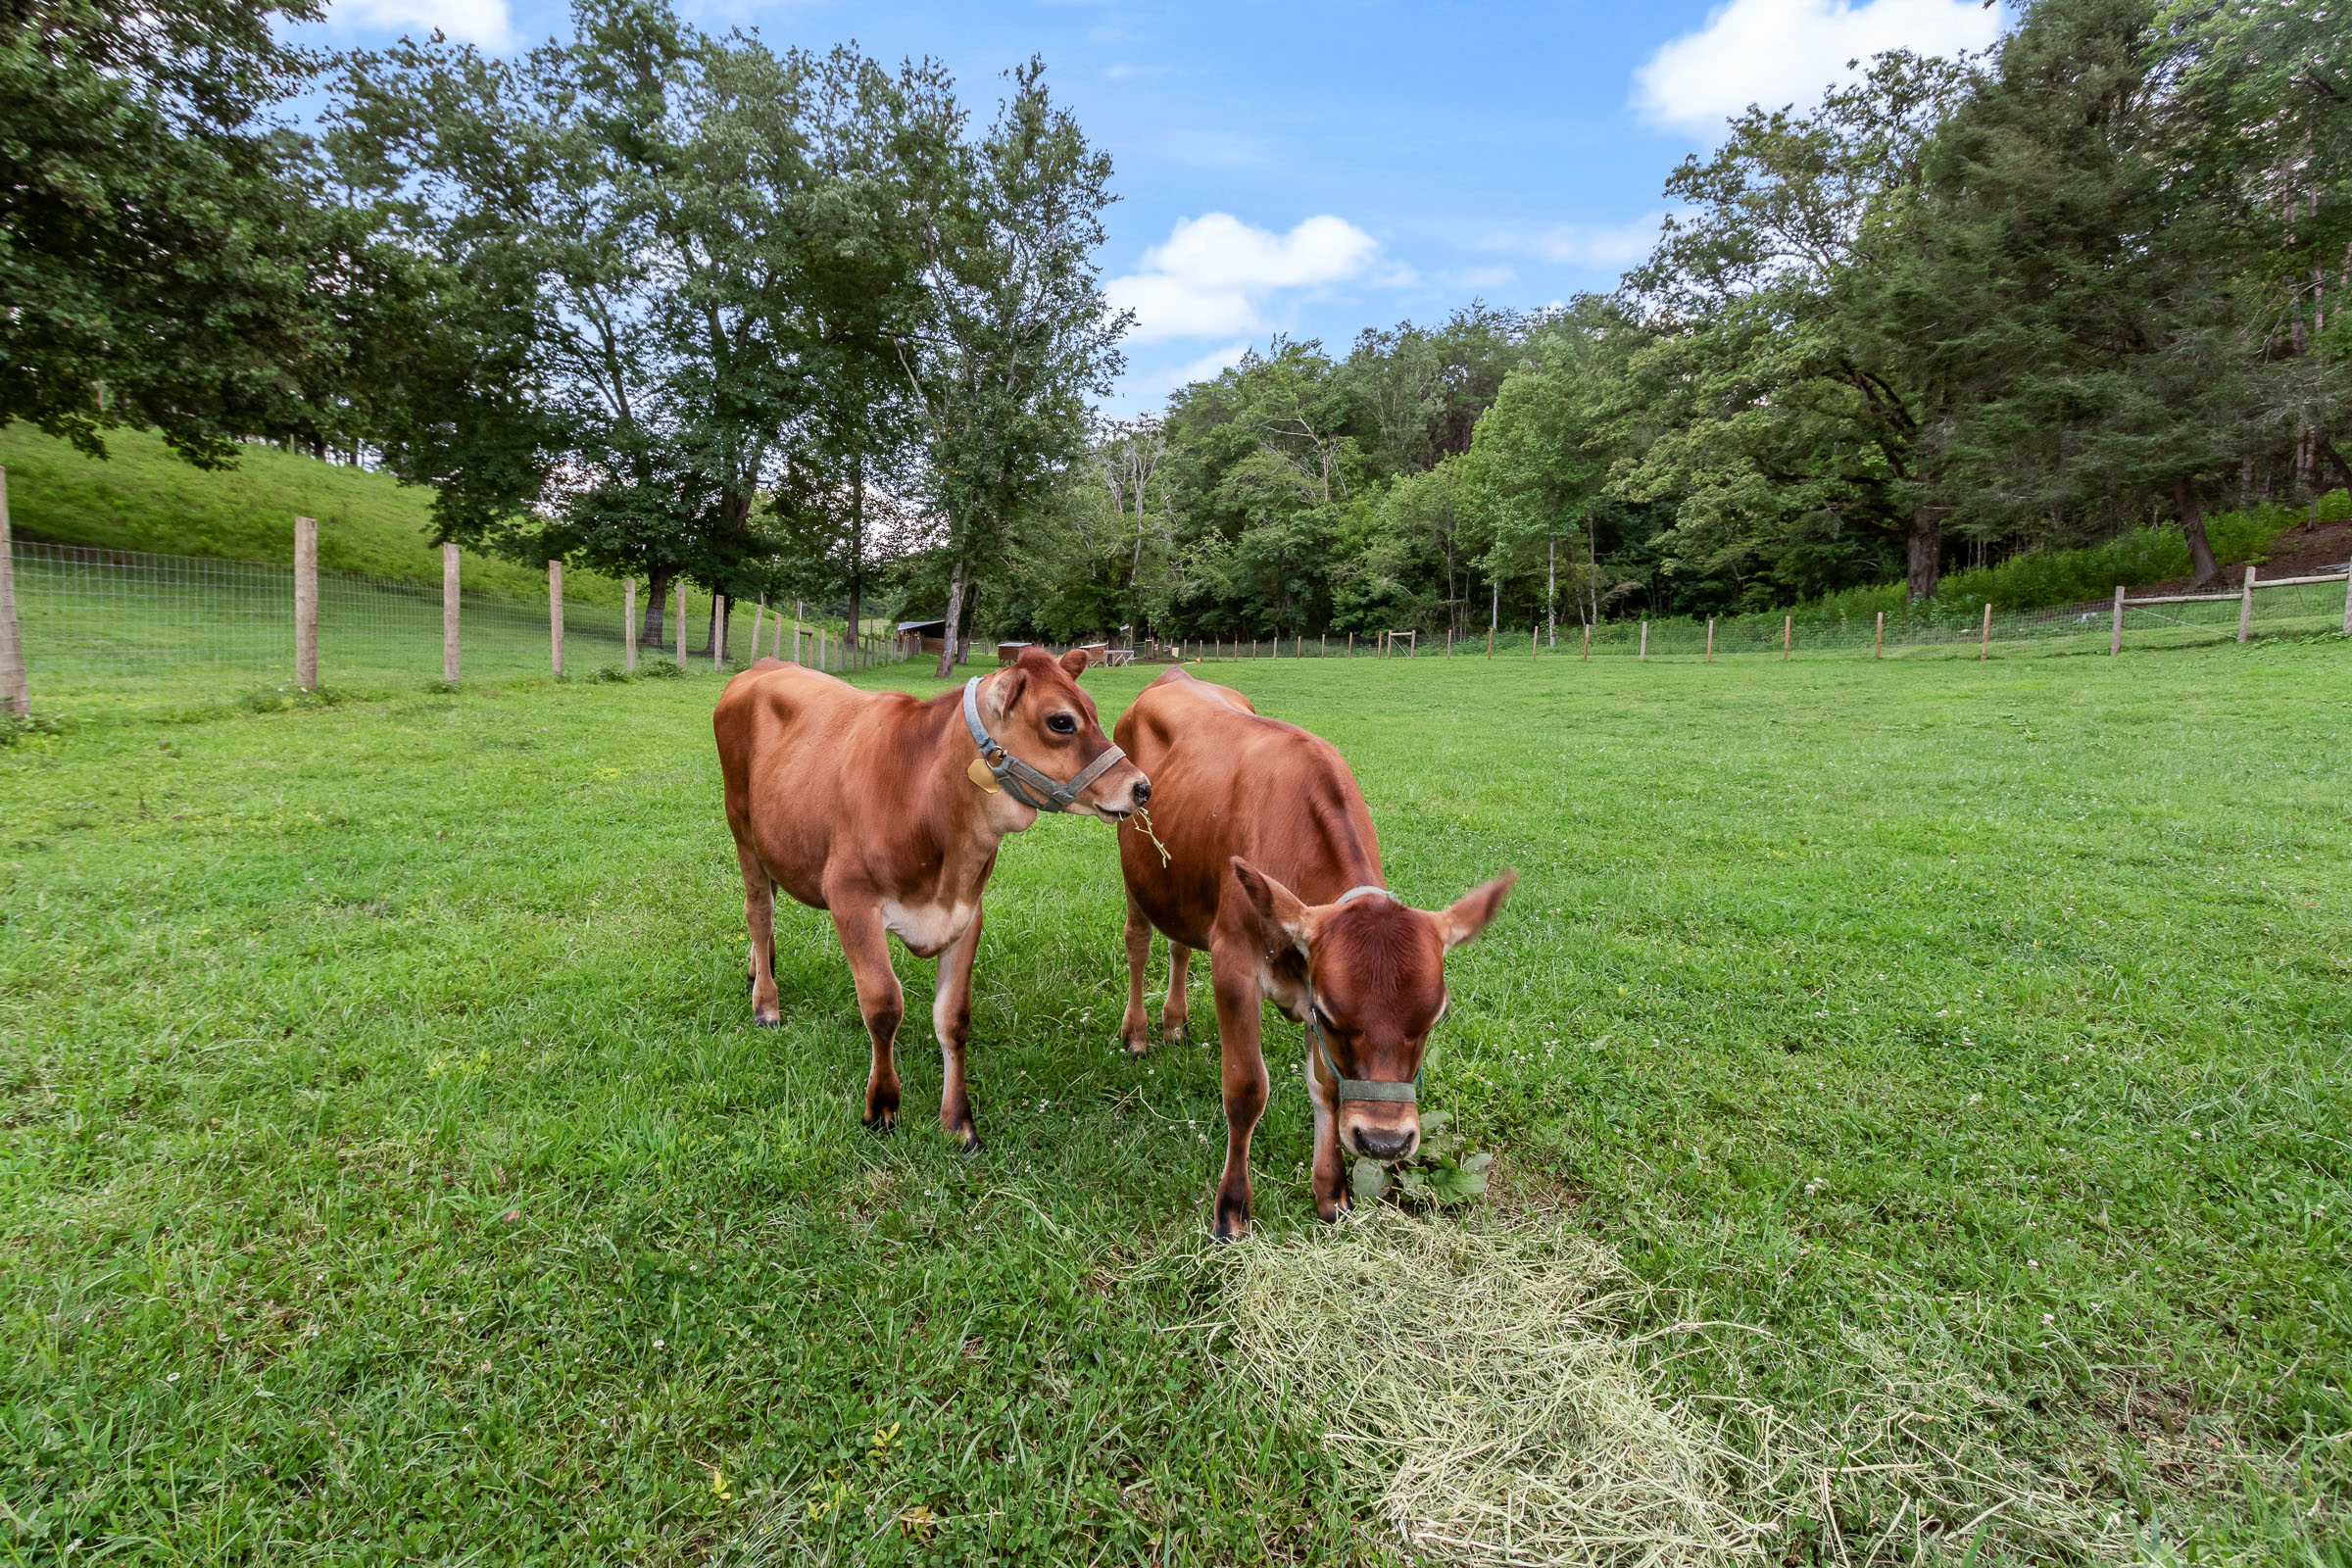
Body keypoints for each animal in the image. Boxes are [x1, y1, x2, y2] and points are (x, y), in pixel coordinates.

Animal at [714, 646, 1150, 1150]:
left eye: (1095, 712)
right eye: (1061, 721)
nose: (1142, 786)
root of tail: (764, 665)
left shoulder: (967, 913)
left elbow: (953, 1020)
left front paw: (958, 1121)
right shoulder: (850, 899)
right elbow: (883, 1004)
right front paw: (882, 1106)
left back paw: (758, 967)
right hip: (740, 824)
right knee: (758, 909)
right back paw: (765, 1002)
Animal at [1111, 667, 1513, 1239]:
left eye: (1435, 1017)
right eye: (1332, 1016)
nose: (1385, 1142)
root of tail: (1174, 673)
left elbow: (1326, 1088)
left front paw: (1332, 1193)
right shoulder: (1234, 964)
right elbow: (1246, 1090)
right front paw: (1232, 1209)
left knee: (1178, 945)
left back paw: (1176, 1022)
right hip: (1135, 870)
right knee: (1138, 944)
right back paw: (1139, 1033)